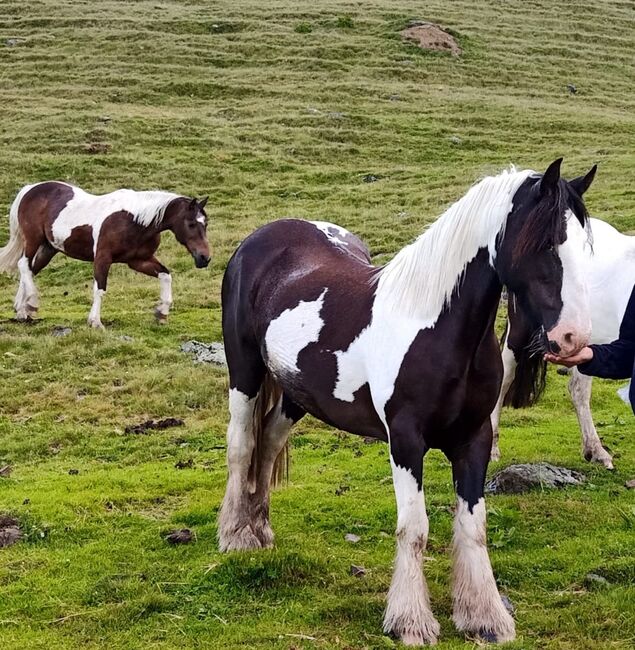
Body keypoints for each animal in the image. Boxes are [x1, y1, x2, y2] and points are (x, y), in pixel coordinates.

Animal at [0, 180, 211, 326]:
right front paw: (95, 322)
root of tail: (30, 189)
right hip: (33, 240)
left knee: (30, 270)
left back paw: (22, 310)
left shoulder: (139, 261)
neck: (135, 221)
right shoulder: (103, 258)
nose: (205, 258)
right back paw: (32, 303)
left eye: (206, 223)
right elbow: (100, 289)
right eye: (191, 224)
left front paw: (162, 312)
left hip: (48, 248)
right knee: (23, 265)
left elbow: (166, 275)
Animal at [219, 158, 596, 644]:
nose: (573, 339)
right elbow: (414, 529)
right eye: (547, 243)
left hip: (297, 393)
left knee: (267, 444)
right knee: (242, 445)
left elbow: (473, 527)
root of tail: (263, 237)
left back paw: (261, 530)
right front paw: (410, 621)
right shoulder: (405, 441)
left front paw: (485, 617)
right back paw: (235, 535)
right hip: (244, 373)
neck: (434, 328)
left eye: (586, 246)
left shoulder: (474, 439)